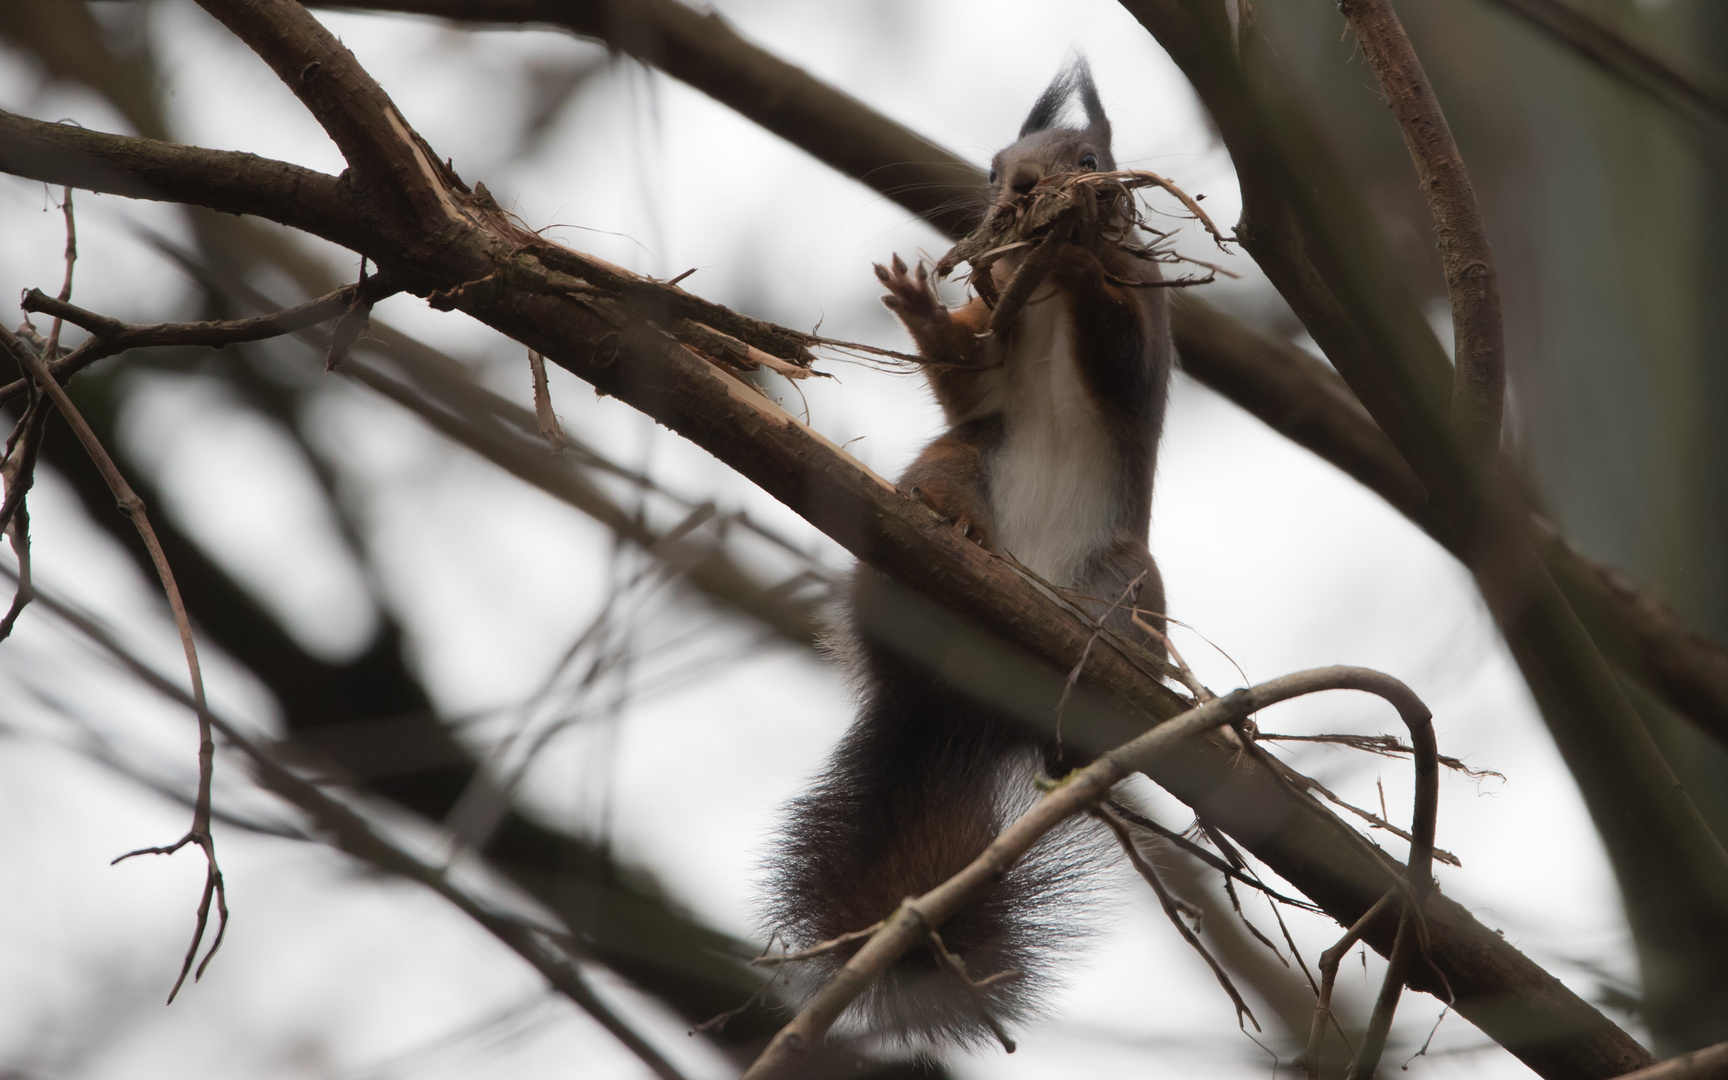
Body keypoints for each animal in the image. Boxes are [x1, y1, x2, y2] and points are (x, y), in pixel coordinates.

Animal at [760, 57, 1175, 1043]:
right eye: (993, 169)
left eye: (1089, 160)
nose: (1023, 190)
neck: (1045, 300)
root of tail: (951, 712)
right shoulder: (993, 333)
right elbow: (966, 374)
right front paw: (917, 300)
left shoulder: (1144, 321)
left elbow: (1123, 354)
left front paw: (1082, 259)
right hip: (958, 467)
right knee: (945, 480)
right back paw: (951, 535)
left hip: (1125, 575)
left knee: (1120, 623)